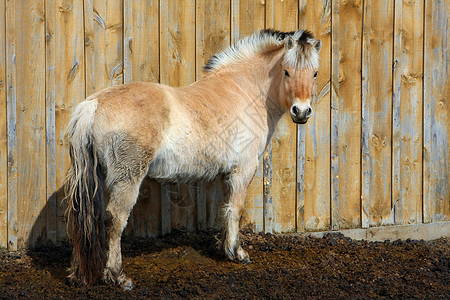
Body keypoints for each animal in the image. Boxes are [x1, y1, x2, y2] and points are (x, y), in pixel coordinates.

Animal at [65, 29, 322, 290]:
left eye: (314, 73)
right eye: (287, 71)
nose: (301, 112)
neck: (245, 91)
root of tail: (94, 103)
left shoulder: (227, 173)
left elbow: (225, 208)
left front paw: (224, 249)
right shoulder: (243, 169)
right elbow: (236, 208)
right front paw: (237, 253)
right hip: (127, 177)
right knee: (115, 220)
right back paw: (118, 275)